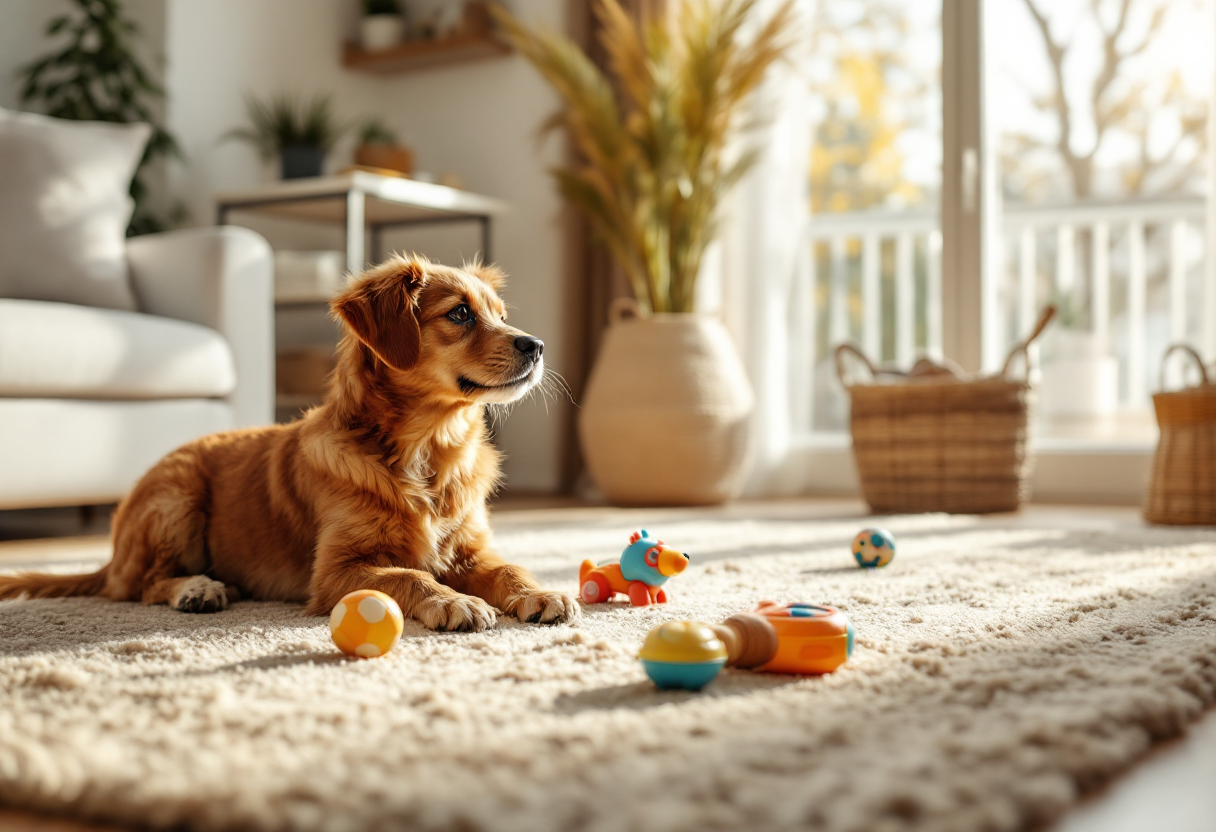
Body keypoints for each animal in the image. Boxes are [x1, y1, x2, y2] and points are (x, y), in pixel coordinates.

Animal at [0, 255, 578, 632]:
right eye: (459, 314)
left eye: (501, 314)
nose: (537, 346)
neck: (427, 450)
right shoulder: (335, 571)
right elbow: (407, 573)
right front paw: (454, 601)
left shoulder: (470, 548)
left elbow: (507, 567)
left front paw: (538, 591)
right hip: (176, 499)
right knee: (141, 586)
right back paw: (197, 588)